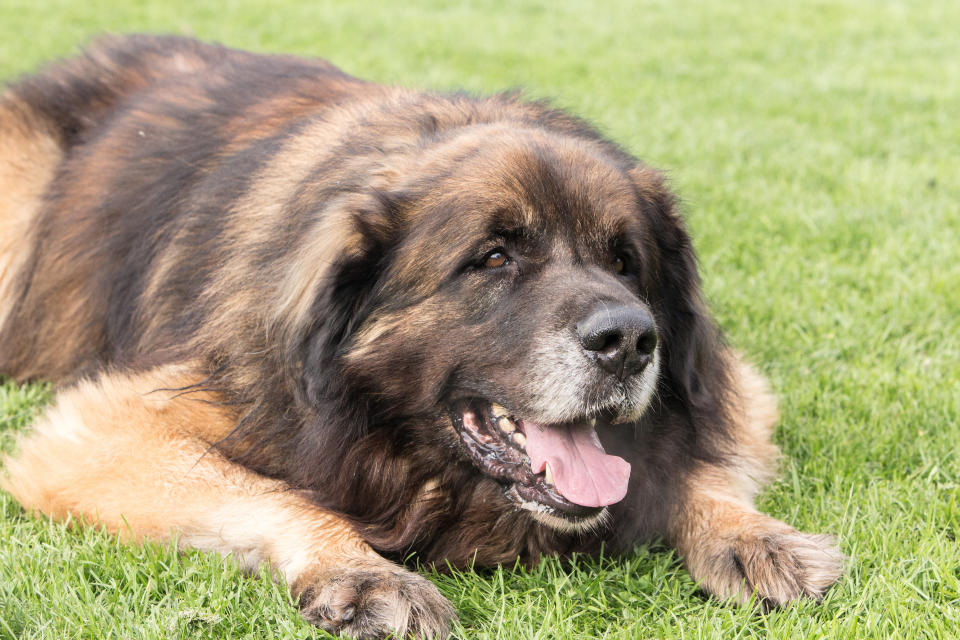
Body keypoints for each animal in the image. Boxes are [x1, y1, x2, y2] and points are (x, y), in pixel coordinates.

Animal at [0, 36, 840, 640]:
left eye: (625, 261)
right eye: (494, 258)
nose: (630, 341)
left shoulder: (734, 387)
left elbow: (694, 461)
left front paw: (749, 533)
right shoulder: (107, 428)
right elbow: (280, 494)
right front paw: (363, 572)